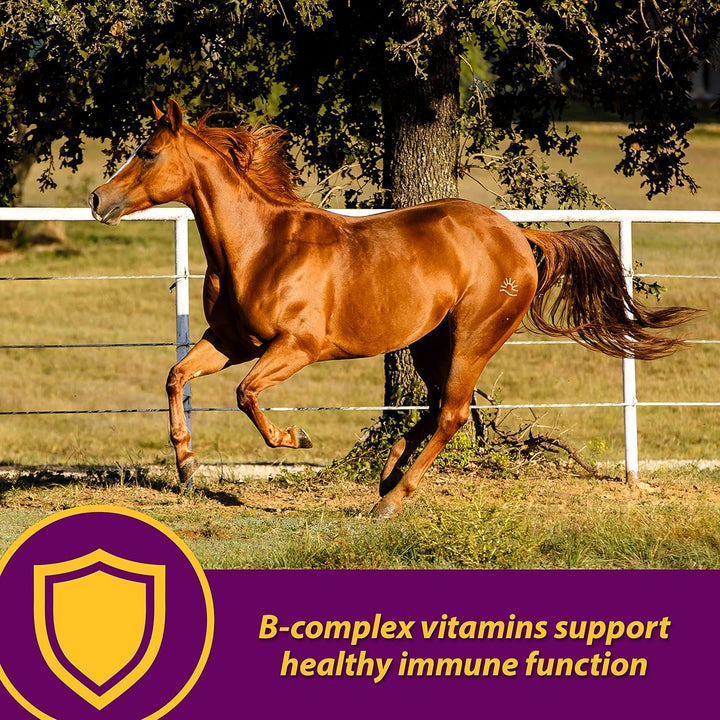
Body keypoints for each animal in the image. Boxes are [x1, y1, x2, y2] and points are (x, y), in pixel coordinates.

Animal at [88, 100, 696, 518]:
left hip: (474, 336)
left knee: (452, 413)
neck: (261, 246)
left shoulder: (297, 347)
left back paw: (391, 498)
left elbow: (246, 394)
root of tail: (519, 236)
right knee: (434, 405)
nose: (97, 200)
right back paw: (386, 474)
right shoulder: (232, 341)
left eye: (148, 152)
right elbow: (176, 376)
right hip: (430, 341)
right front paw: (187, 465)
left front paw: (295, 438)